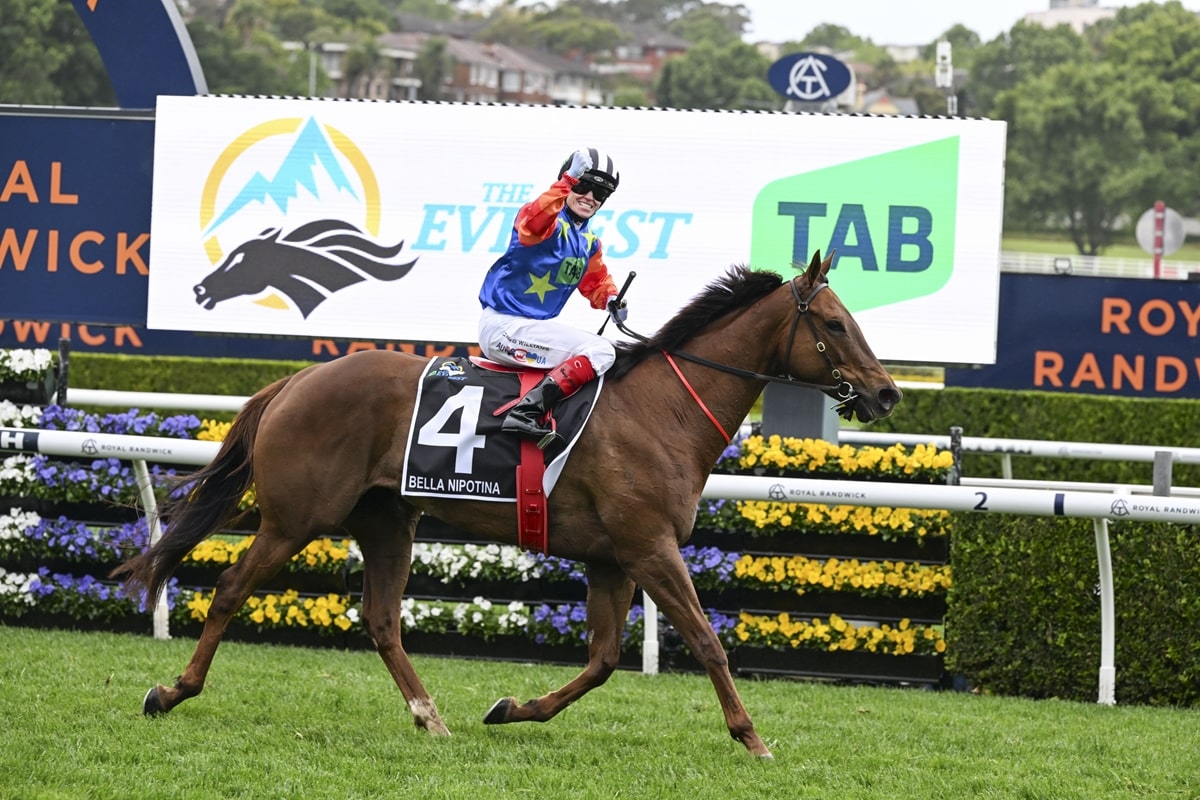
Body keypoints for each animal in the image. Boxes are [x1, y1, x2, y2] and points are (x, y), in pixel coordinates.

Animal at [114, 250, 902, 758]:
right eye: (835, 323)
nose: (886, 392)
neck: (664, 409)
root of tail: (296, 381)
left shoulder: (612, 558)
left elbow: (604, 660)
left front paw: (512, 708)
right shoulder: (650, 547)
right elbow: (708, 643)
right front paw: (752, 738)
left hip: (389, 522)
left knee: (381, 619)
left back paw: (431, 718)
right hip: (293, 519)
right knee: (228, 589)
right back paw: (171, 691)